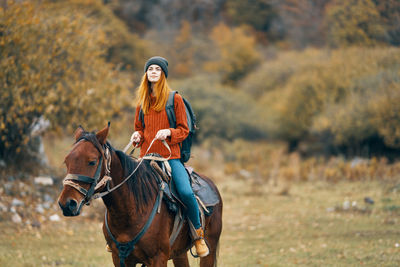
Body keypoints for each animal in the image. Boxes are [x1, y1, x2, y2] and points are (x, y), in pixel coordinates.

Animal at [57, 124, 223, 266]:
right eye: (66, 161)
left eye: (92, 162)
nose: (67, 204)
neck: (132, 211)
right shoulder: (120, 258)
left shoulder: (158, 258)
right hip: (179, 253)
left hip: (209, 248)